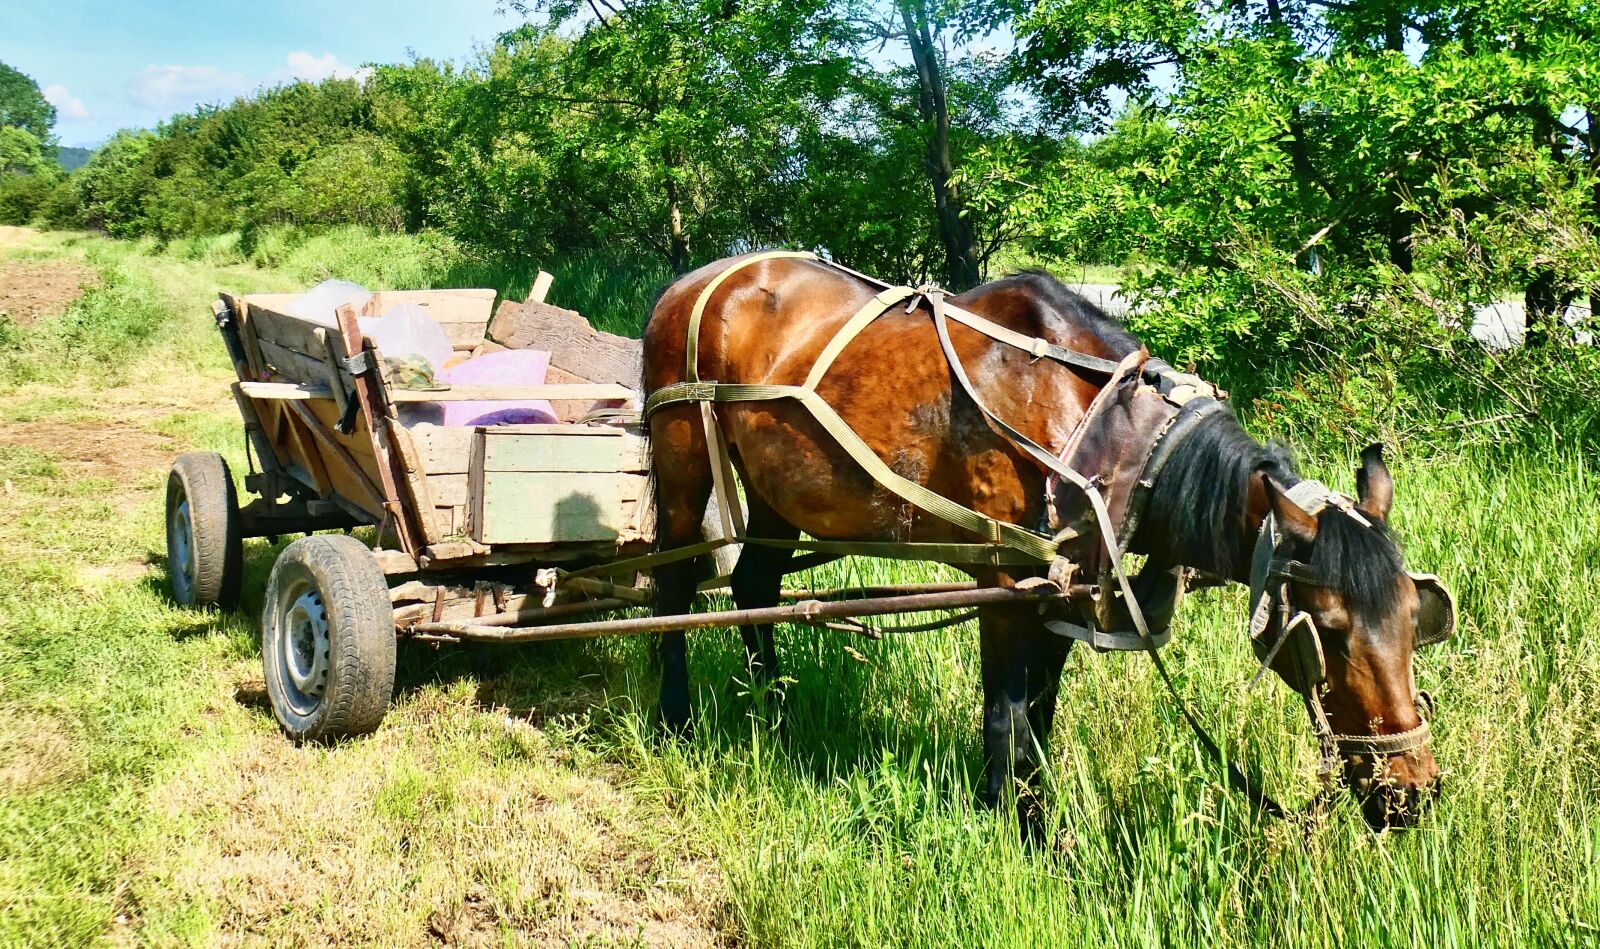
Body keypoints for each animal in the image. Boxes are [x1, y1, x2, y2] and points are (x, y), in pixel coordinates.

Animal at [641, 252, 1444, 830]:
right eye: (1325, 631)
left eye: (1418, 617)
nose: (1411, 793)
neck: (1101, 420)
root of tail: (691, 282)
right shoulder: (1004, 578)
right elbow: (1006, 710)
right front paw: (1010, 823)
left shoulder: (1063, 585)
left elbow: (1042, 711)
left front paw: (1034, 813)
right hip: (684, 460)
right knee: (673, 587)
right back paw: (674, 719)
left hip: (778, 490)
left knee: (754, 586)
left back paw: (771, 713)